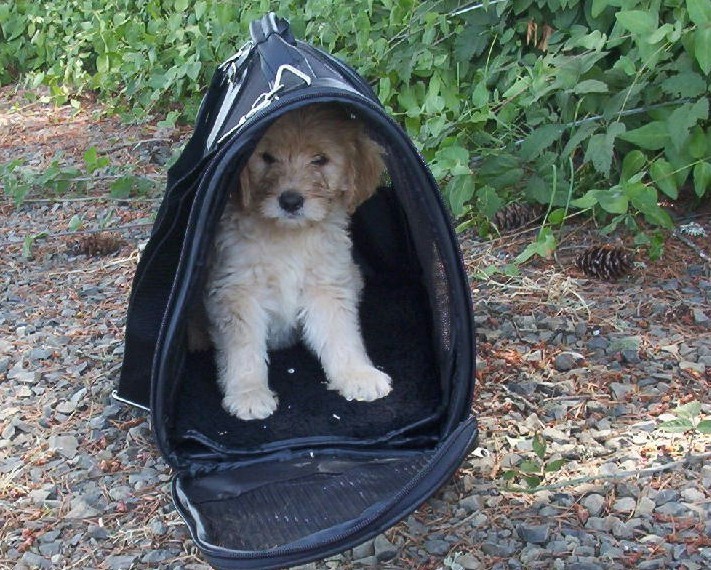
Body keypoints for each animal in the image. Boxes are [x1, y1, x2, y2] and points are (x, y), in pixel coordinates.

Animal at [195, 104, 392, 420]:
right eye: (267, 157)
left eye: (320, 159)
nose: (290, 201)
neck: (289, 236)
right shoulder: (237, 291)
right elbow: (243, 347)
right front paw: (248, 392)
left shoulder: (328, 286)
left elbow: (341, 334)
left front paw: (357, 375)